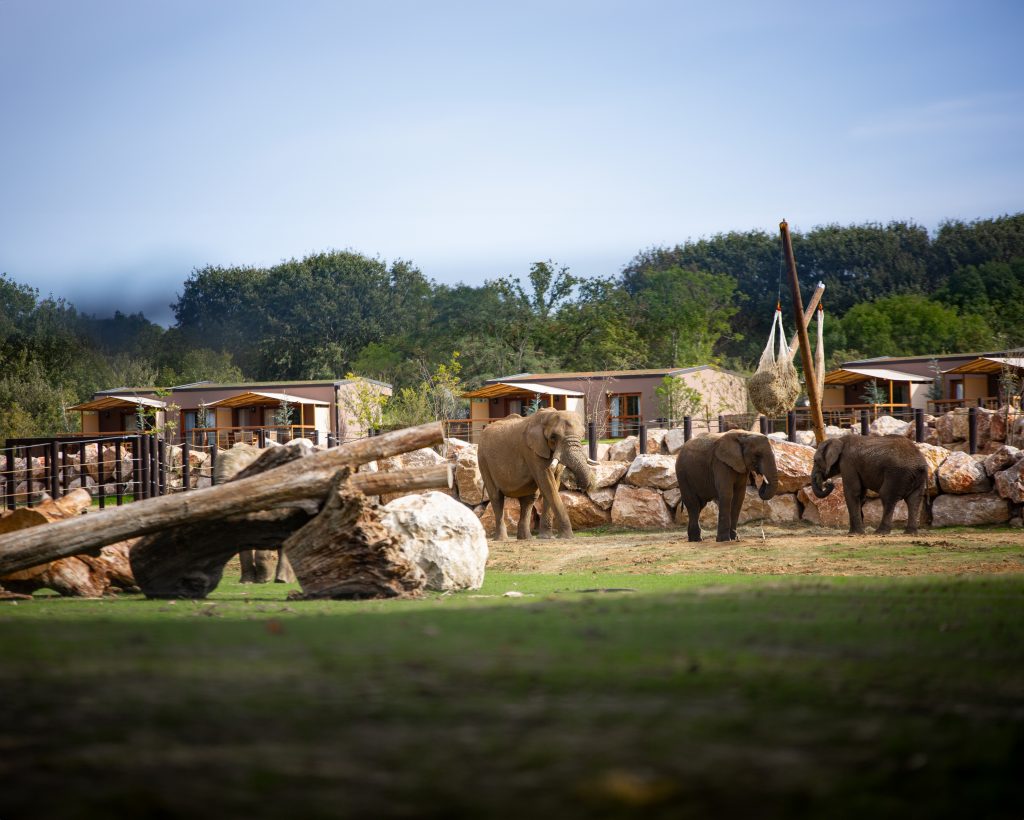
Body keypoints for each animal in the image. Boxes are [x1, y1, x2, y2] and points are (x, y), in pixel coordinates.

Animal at [475, 407, 598, 536]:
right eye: (553, 437)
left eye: (582, 435)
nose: (581, 486)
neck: (547, 415)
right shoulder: (532, 451)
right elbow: (547, 482)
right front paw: (567, 536)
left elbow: (553, 483)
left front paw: (547, 537)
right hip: (483, 461)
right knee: (496, 497)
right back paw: (502, 538)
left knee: (529, 499)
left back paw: (526, 538)